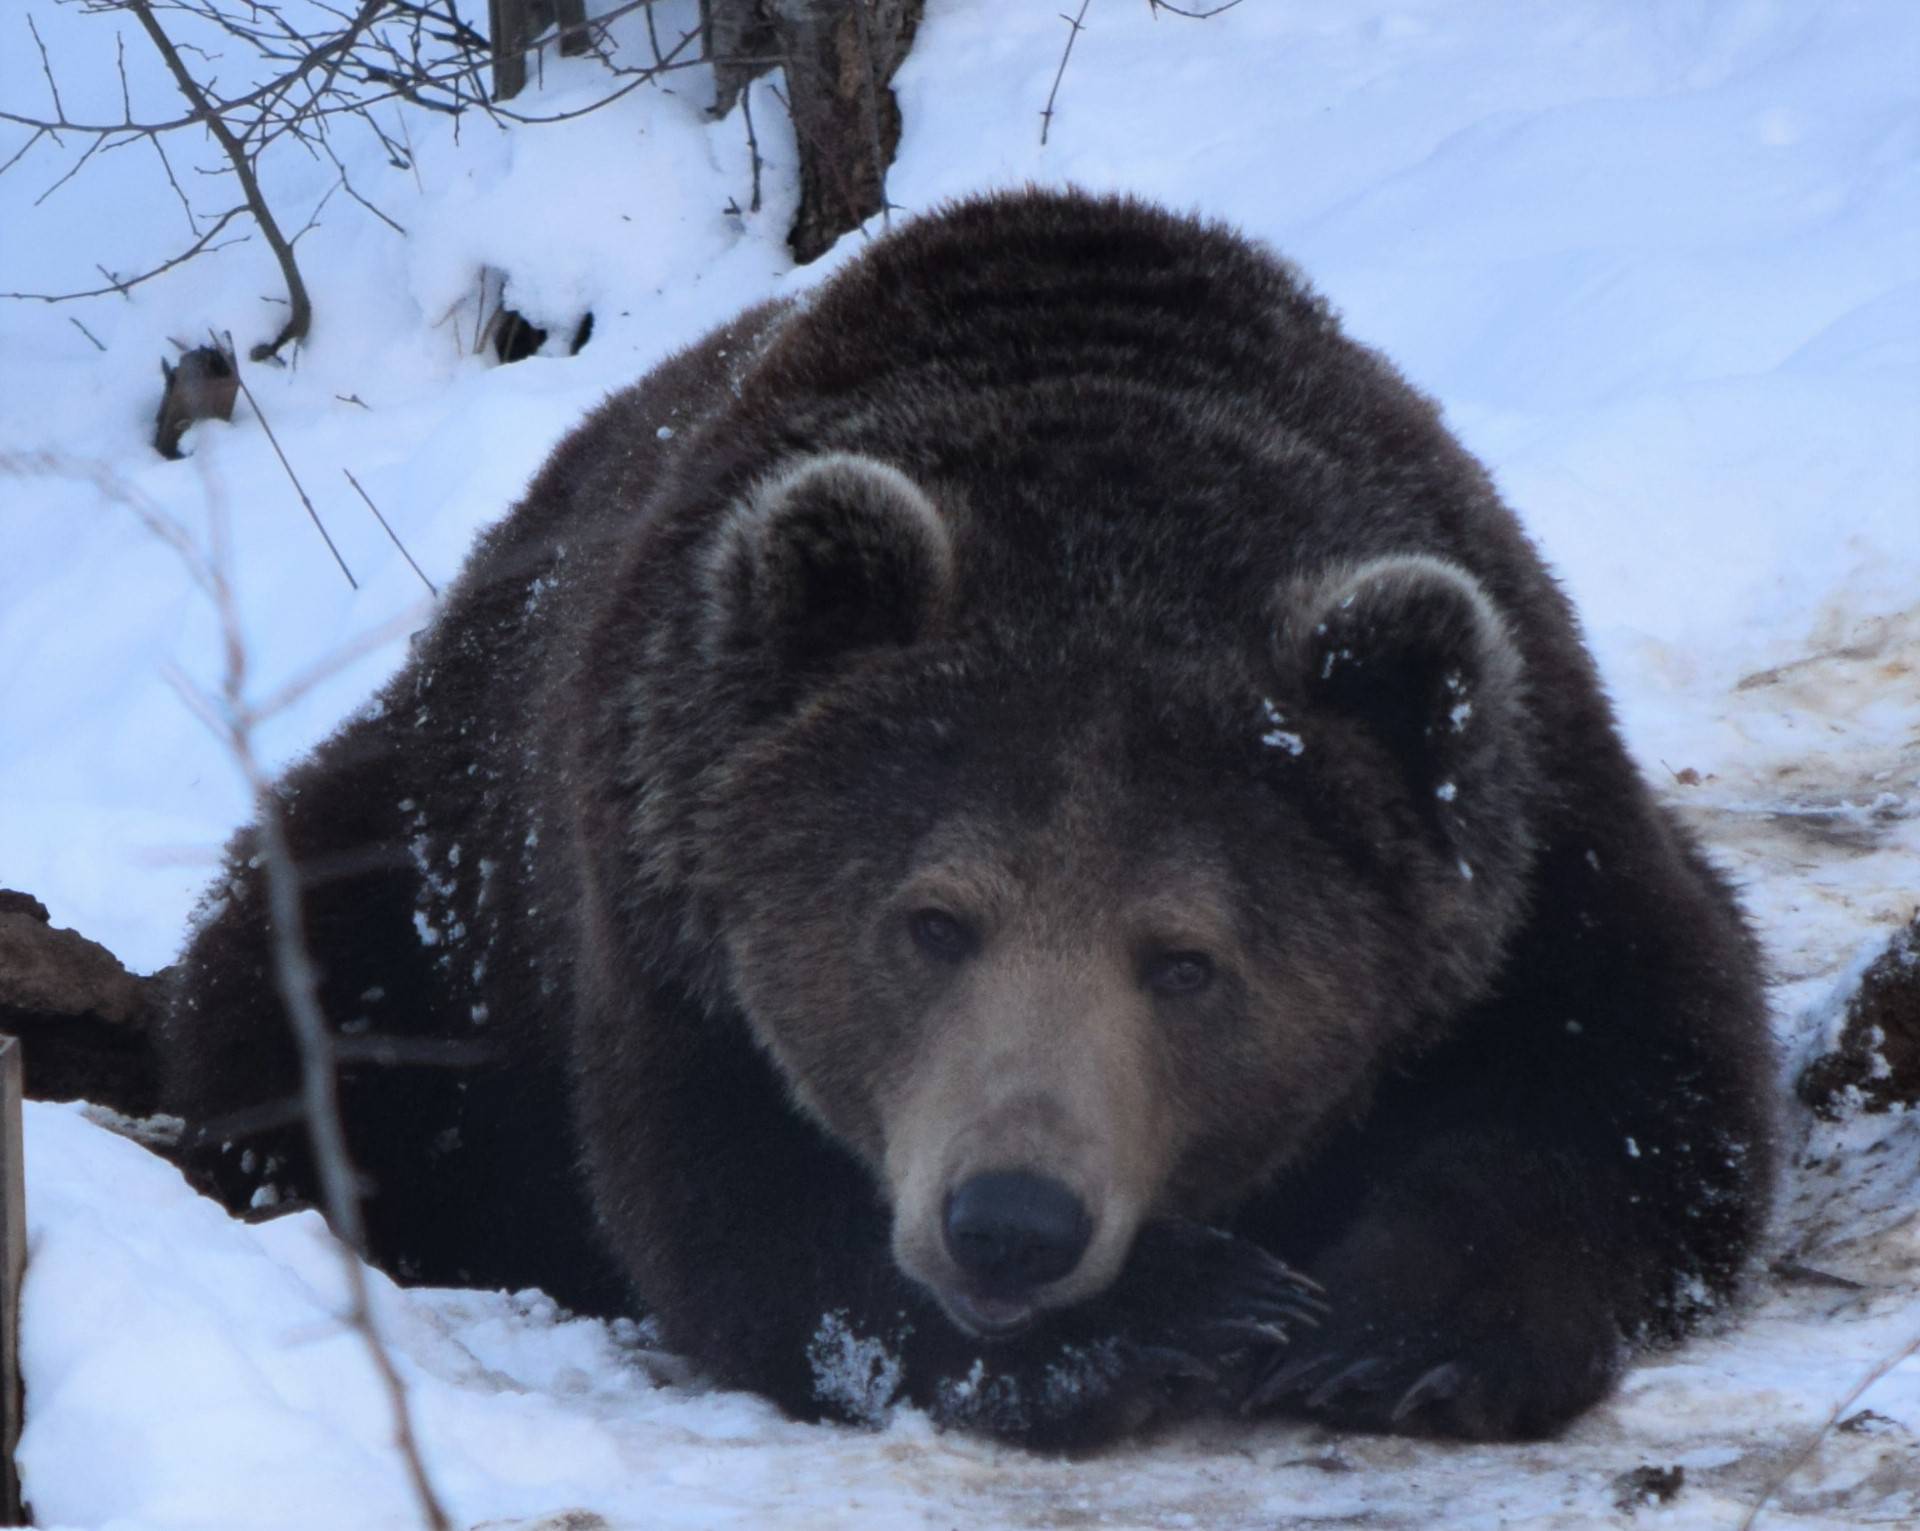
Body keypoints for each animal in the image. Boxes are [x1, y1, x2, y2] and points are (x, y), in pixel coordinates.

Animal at [157, 188, 1774, 1444]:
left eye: (1186, 957)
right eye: (933, 919)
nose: (1011, 1219)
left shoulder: (1528, 830)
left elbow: (1638, 1077)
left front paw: (1391, 1332)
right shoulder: (664, 906)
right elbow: (736, 1214)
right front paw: (1179, 1307)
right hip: (439, 888)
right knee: (310, 1011)